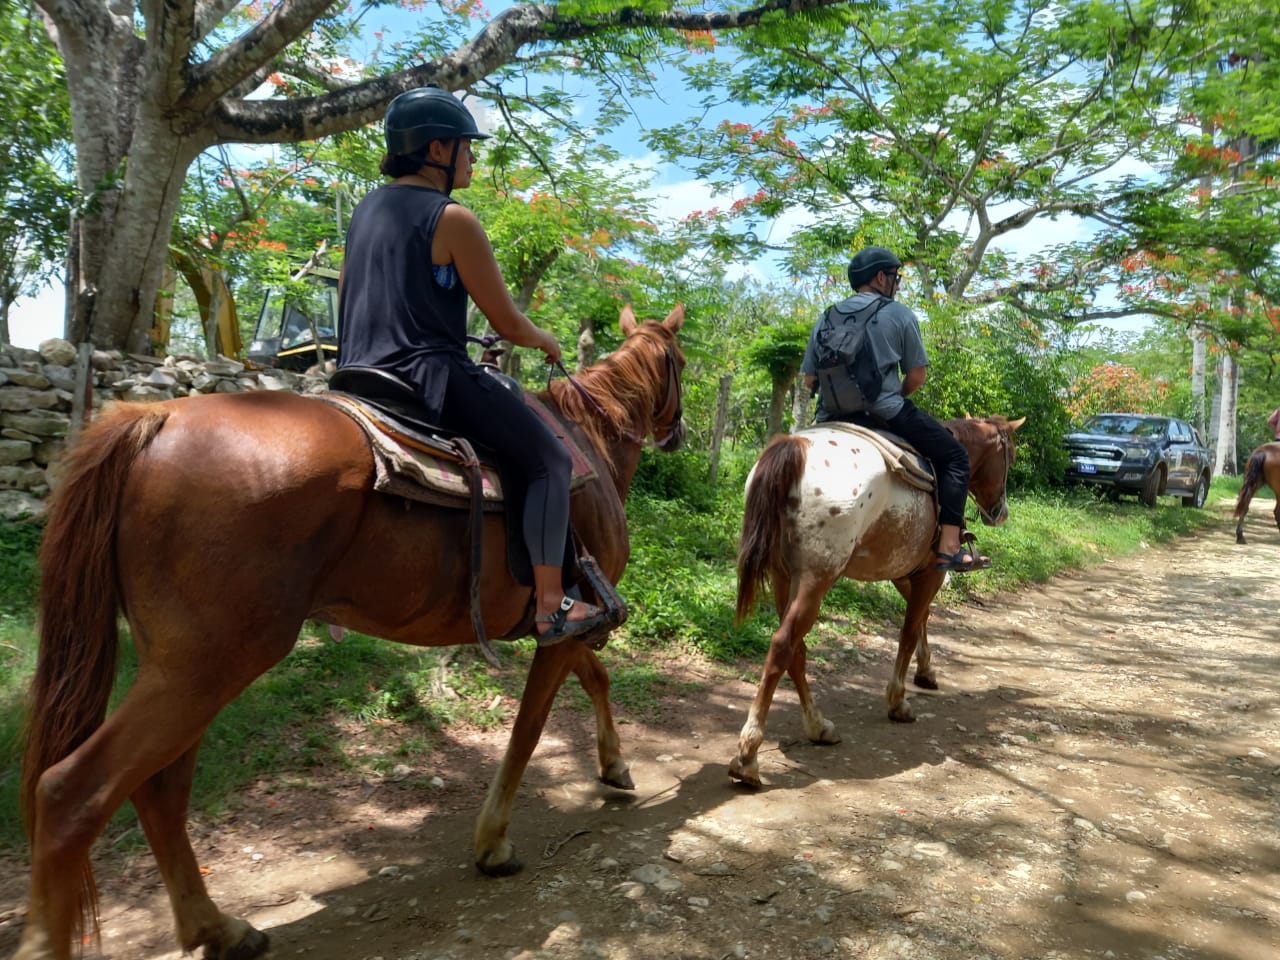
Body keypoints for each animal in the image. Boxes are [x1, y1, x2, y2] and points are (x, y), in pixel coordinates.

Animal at [15, 304, 686, 960]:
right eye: (680, 364)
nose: (677, 434)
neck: (589, 440)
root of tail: (154, 418)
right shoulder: (562, 627)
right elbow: (528, 731)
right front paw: (493, 843)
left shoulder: (572, 627)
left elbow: (595, 679)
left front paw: (615, 767)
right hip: (205, 666)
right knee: (74, 793)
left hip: (185, 668)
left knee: (158, 790)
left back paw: (218, 928)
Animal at [732, 414, 1018, 788]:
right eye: (1010, 456)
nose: (1000, 512)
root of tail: (793, 447)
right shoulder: (931, 573)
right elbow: (910, 630)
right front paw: (898, 702)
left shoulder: (904, 573)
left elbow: (922, 620)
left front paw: (926, 672)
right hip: (815, 580)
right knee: (783, 645)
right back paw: (748, 755)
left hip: (785, 577)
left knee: (796, 650)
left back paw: (818, 726)